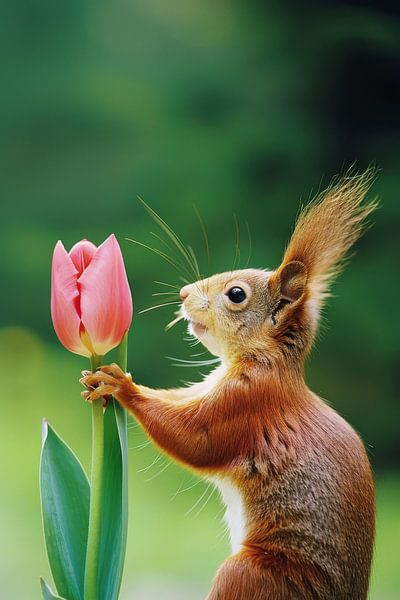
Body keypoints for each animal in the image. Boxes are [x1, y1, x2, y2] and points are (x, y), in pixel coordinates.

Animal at [80, 171, 378, 600]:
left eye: (236, 294)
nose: (184, 294)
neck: (263, 363)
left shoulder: (249, 403)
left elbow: (196, 437)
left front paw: (121, 386)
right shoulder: (204, 387)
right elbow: (179, 401)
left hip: (252, 575)